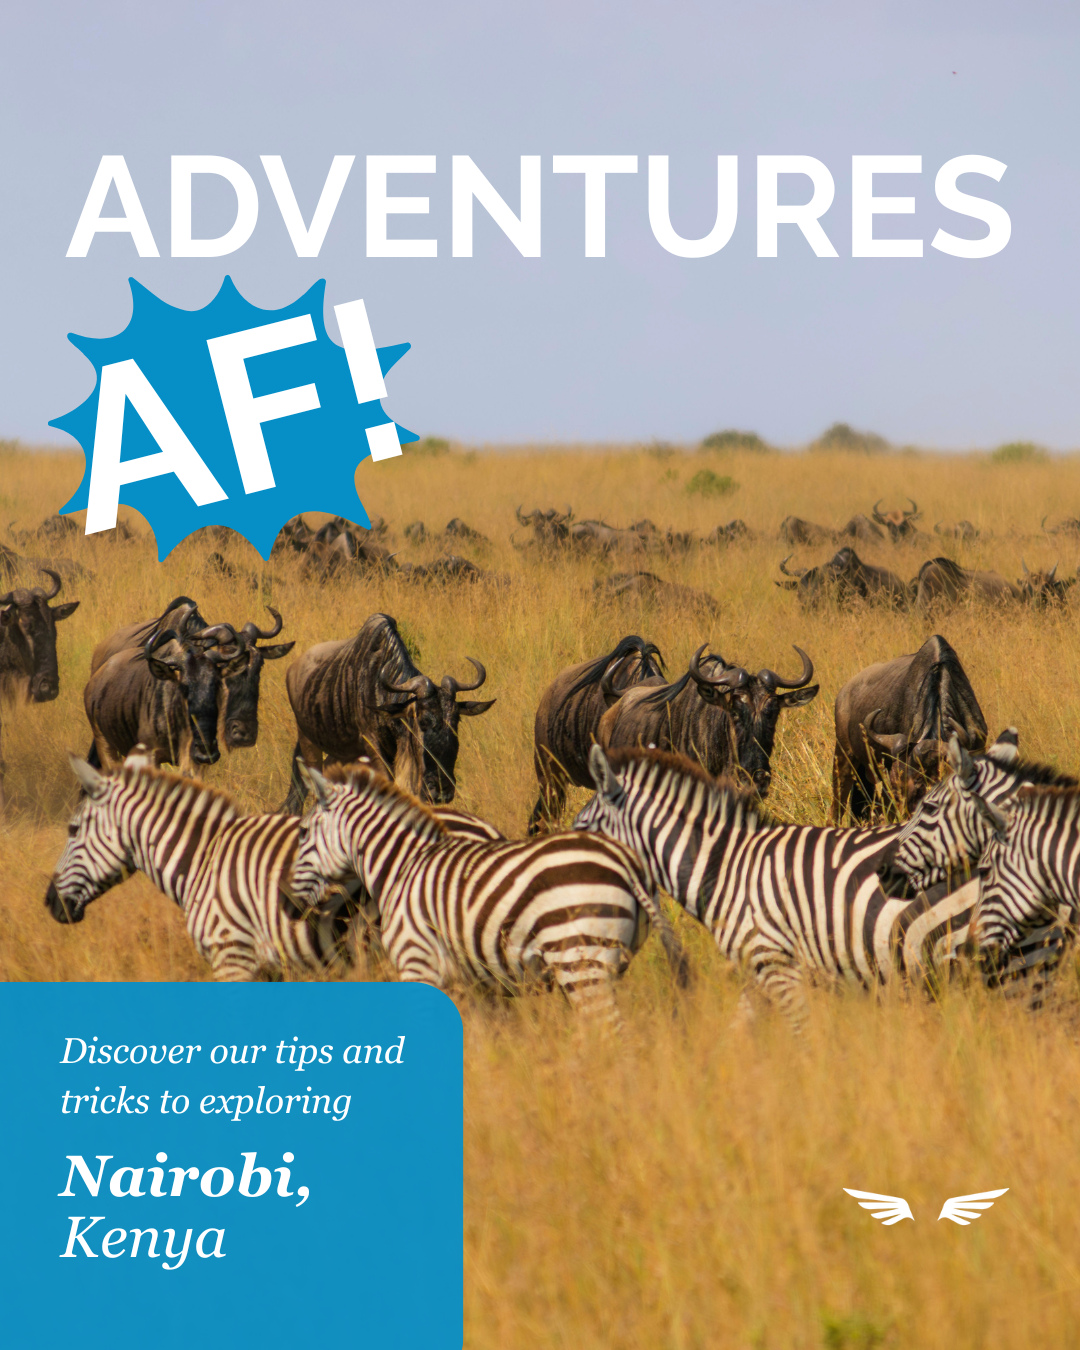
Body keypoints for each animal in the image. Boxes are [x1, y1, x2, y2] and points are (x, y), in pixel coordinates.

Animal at [44, 753, 504, 982]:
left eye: (72, 830)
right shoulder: (269, 967)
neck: (202, 860)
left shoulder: (232, 954)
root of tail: (487, 829)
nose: (50, 904)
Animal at [288, 761, 689, 1030]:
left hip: (580, 960)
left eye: (303, 832)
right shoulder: (478, 984)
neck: (402, 865)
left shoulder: (418, 962)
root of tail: (626, 863)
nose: (288, 902)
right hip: (609, 962)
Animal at [574, 744, 1041, 1028]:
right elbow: (742, 1037)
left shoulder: (777, 963)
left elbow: (801, 1037)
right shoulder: (757, 971)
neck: (725, 866)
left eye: (580, 827)